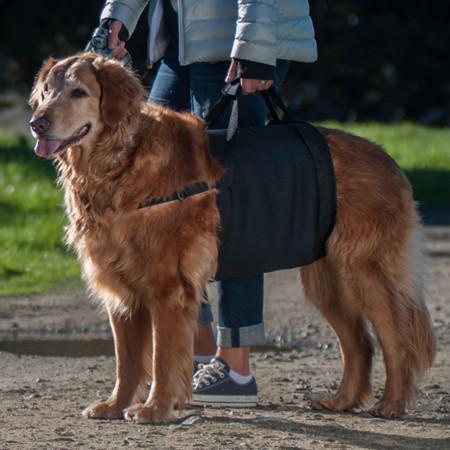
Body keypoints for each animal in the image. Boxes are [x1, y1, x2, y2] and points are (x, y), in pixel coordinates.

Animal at [29, 54, 436, 424]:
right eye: (47, 91)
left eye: (79, 92)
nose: (36, 123)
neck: (118, 162)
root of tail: (388, 159)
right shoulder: (120, 283)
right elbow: (126, 360)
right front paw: (115, 405)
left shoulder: (167, 288)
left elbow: (162, 358)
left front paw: (155, 409)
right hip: (326, 280)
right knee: (359, 344)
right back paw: (342, 400)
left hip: (364, 272)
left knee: (396, 340)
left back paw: (392, 403)